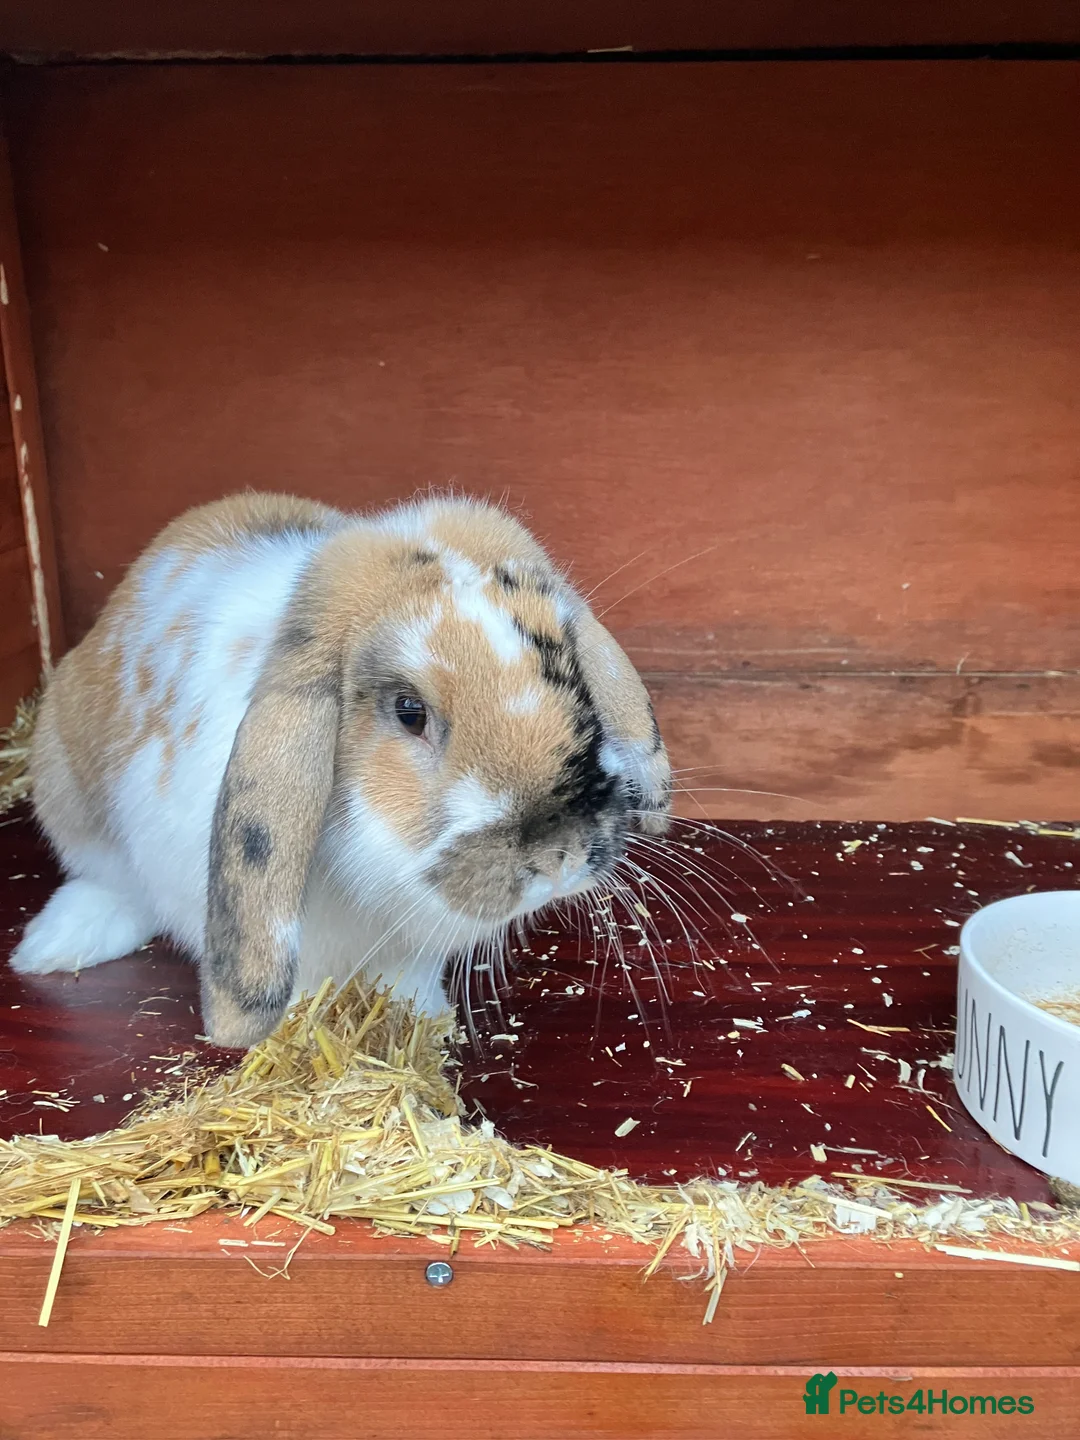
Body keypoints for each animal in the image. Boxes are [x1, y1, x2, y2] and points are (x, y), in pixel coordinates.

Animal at [10, 491, 672, 1048]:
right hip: (69, 795)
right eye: (409, 711)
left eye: (576, 678)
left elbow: (407, 977)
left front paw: (423, 1019)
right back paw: (53, 947)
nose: (559, 859)